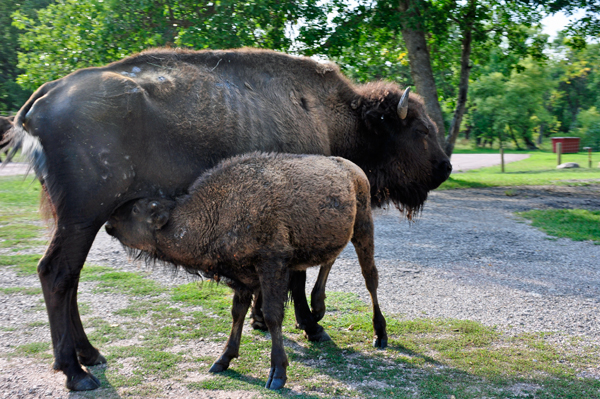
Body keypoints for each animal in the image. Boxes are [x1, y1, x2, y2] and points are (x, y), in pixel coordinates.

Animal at [105, 153, 386, 390]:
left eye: (135, 210)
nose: (108, 224)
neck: (218, 211)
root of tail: (354, 169)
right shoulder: (242, 277)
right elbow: (237, 312)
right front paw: (223, 359)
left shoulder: (271, 265)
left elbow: (272, 315)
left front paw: (277, 373)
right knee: (330, 259)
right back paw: (318, 308)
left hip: (364, 228)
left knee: (370, 277)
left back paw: (379, 334)